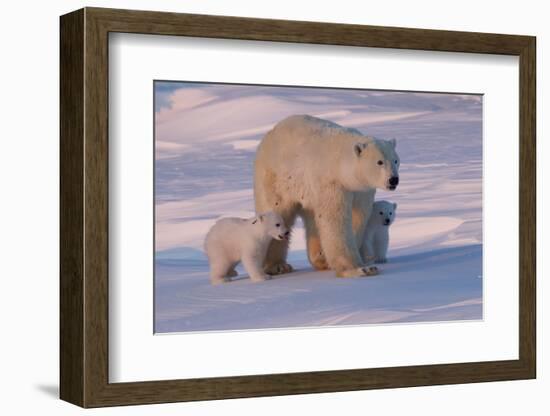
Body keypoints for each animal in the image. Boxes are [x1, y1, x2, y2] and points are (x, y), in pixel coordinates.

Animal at [254, 114, 402, 278]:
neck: (340, 164)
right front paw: (359, 269)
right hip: (277, 179)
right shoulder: (331, 183)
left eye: (396, 160)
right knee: (277, 212)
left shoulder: (362, 190)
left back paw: (320, 259)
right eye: (379, 162)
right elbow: (335, 219)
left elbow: (358, 217)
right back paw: (277, 266)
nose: (393, 180)